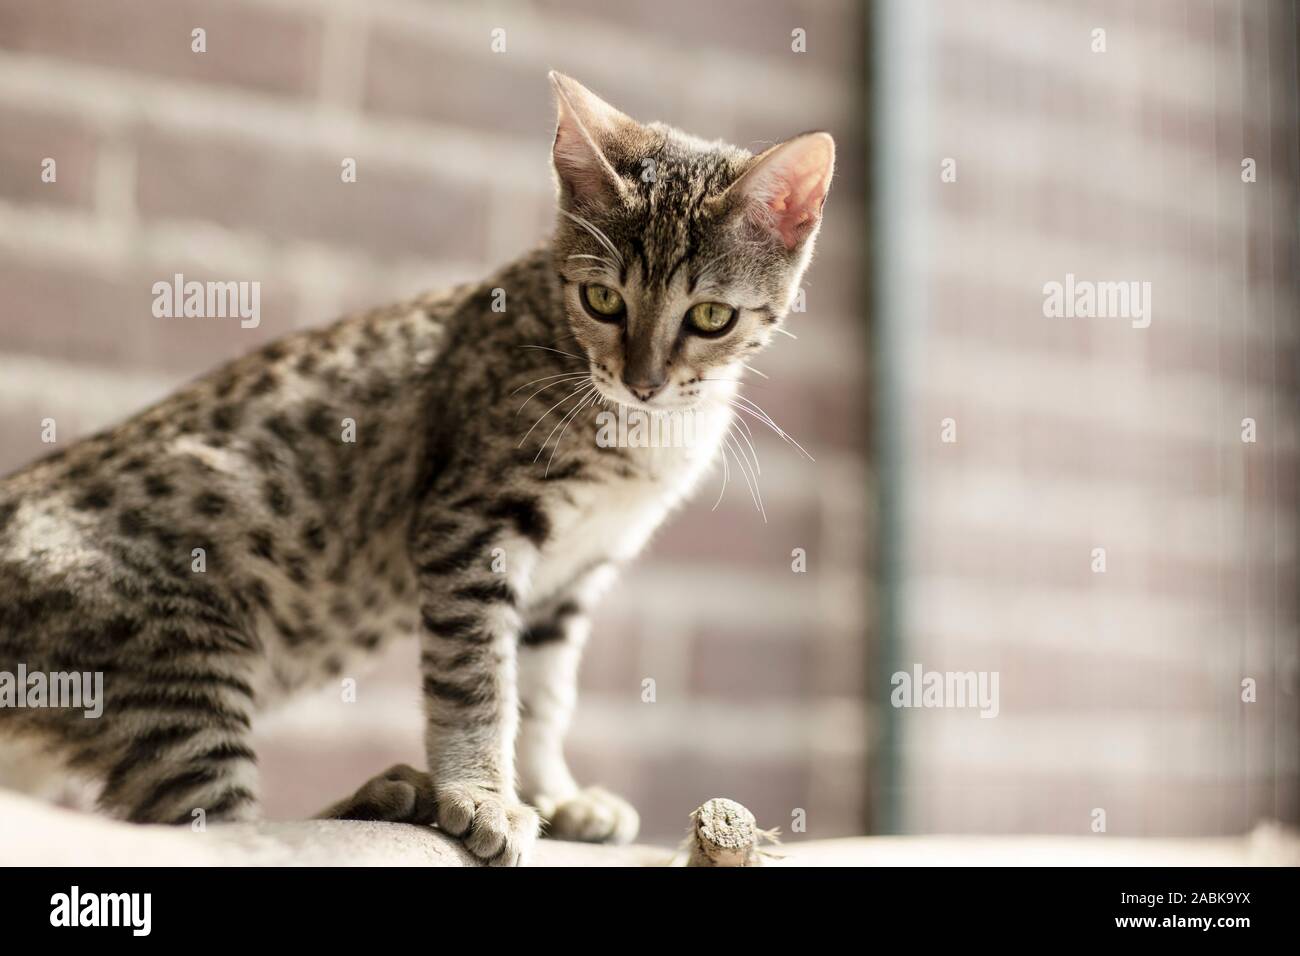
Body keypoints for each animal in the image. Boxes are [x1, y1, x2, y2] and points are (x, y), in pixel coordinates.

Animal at [0, 72, 832, 868]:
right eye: (603, 299)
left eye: (711, 317)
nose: (643, 381)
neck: (647, 434)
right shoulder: (470, 525)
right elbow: (479, 681)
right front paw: (484, 795)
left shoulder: (569, 580)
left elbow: (544, 694)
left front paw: (553, 794)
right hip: (180, 658)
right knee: (215, 828)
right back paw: (383, 796)